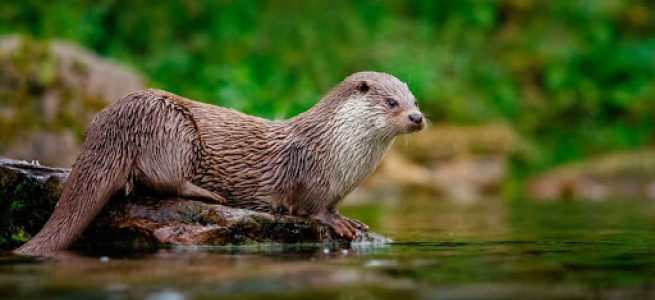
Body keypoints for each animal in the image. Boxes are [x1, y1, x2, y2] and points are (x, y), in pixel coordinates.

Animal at [16, 71, 426, 254]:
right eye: (392, 102)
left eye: (415, 100)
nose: (417, 118)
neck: (339, 153)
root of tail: (107, 119)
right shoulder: (308, 175)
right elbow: (312, 209)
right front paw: (337, 223)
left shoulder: (339, 188)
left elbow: (335, 205)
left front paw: (352, 219)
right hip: (171, 127)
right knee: (164, 179)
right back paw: (209, 195)